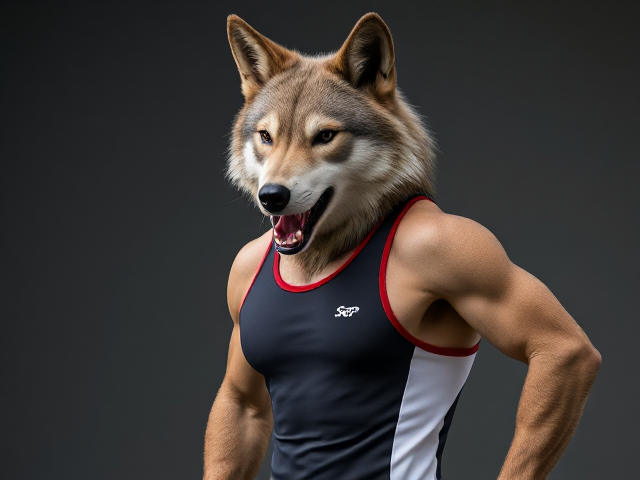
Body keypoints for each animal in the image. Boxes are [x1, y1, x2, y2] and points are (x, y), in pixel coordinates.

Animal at [204, 12, 600, 480]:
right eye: (266, 136)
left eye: (325, 136)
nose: (272, 196)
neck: (327, 252)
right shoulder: (241, 290)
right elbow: (243, 399)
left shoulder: (461, 247)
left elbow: (564, 347)